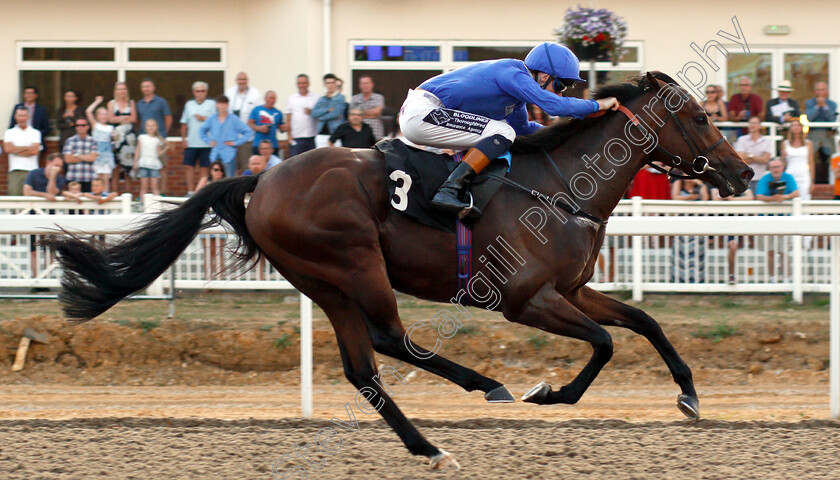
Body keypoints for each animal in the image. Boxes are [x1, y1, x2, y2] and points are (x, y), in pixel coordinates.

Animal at [47, 73, 756, 470]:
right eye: (699, 117)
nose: (745, 172)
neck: (556, 186)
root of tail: (263, 177)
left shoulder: (572, 288)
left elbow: (643, 320)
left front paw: (689, 395)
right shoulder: (525, 299)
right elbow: (606, 342)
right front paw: (549, 393)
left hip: (324, 282)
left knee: (363, 366)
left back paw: (428, 447)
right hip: (355, 262)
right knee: (390, 339)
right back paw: (488, 385)